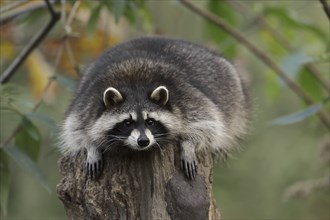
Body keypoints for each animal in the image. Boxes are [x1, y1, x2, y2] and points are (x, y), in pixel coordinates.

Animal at [60, 36, 249, 180]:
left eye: (150, 121)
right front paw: (90, 146)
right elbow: (75, 129)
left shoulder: (187, 98)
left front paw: (189, 145)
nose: (143, 141)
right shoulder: (87, 103)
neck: (135, 86)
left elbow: (207, 123)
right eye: (127, 123)